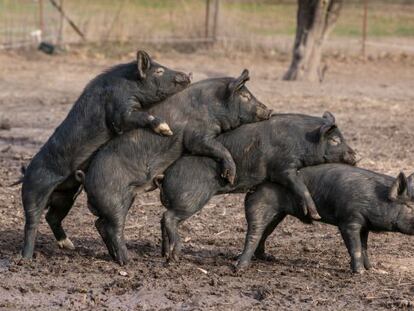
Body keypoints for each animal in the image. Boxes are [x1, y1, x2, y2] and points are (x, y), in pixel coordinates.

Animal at [21, 51, 191, 260]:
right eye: (159, 71)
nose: (186, 75)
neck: (130, 84)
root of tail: (25, 172)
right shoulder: (120, 108)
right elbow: (132, 117)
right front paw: (166, 129)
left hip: (66, 195)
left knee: (51, 216)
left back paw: (70, 246)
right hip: (34, 190)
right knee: (32, 221)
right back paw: (26, 258)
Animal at [158, 112, 356, 260]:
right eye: (335, 140)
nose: (355, 155)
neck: (303, 141)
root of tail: (164, 176)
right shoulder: (283, 166)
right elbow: (298, 185)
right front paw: (314, 215)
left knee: (162, 219)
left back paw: (165, 254)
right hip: (191, 198)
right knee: (168, 217)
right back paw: (175, 256)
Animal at [239, 165, 414, 274]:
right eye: (410, 207)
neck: (376, 198)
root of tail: (253, 187)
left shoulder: (364, 225)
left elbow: (364, 247)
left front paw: (370, 269)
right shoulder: (349, 220)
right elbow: (355, 247)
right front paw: (360, 272)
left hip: (278, 215)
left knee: (265, 233)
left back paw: (268, 258)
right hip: (258, 206)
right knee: (254, 233)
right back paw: (240, 267)